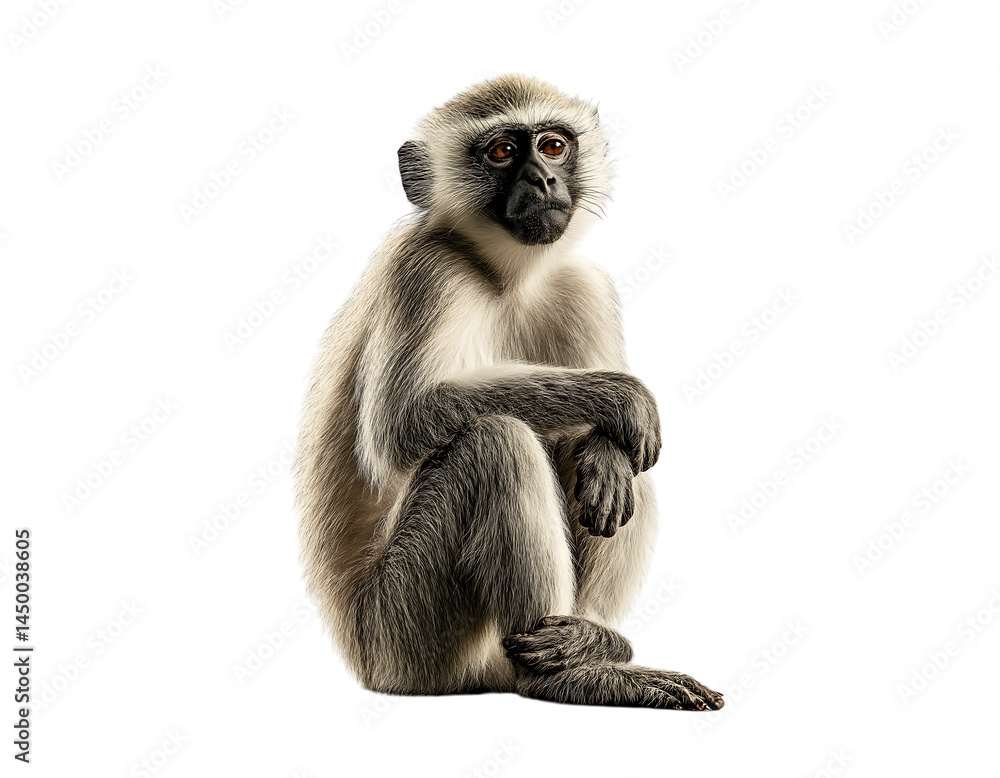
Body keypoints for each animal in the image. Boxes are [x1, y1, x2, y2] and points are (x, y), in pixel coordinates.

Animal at [295, 74, 723, 710]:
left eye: (552, 147)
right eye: (501, 152)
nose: (543, 180)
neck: (503, 276)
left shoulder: (582, 284)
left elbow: (606, 448)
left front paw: (607, 448)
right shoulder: (427, 270)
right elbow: (402, 419)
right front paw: (622, 397)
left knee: (616, 463)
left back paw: (591, 640)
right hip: (405, 637)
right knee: (495, 442)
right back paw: (566, 678)